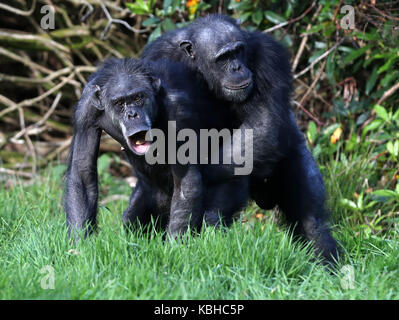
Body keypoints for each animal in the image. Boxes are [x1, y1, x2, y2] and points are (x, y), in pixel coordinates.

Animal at [64, 57, 248, 238]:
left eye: (138, 98)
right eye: (120, 103)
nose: (132, 114)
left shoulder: (178, 111)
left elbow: (186, 183)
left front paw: (174, 244)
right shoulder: (85, 110)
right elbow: (82, 173)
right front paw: (81, 243)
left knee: (213, 214)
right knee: (132, 219)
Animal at [142, 14, 340, 262]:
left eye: (237, 51)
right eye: (224, 57)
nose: (237, 67)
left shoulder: (269, 56)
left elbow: (263, 124)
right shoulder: (154, 60)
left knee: (311, 220)